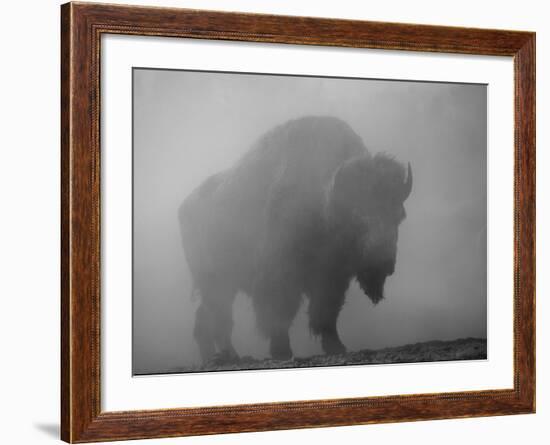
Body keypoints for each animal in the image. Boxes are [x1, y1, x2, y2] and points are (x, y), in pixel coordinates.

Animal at [179, 116, 412, 362]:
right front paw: (281, 351)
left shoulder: (332, 278)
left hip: (222, 285)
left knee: (207, 320)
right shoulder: (280, 276)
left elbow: (326, 313)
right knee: (218, 318)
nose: (383, 263)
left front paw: (336, 346)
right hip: (215, 282)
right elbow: (279, 314)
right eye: (357, 216)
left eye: (399, 215)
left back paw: (217, 357)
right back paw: (228, 356)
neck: (326, 201)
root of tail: (184, 207)